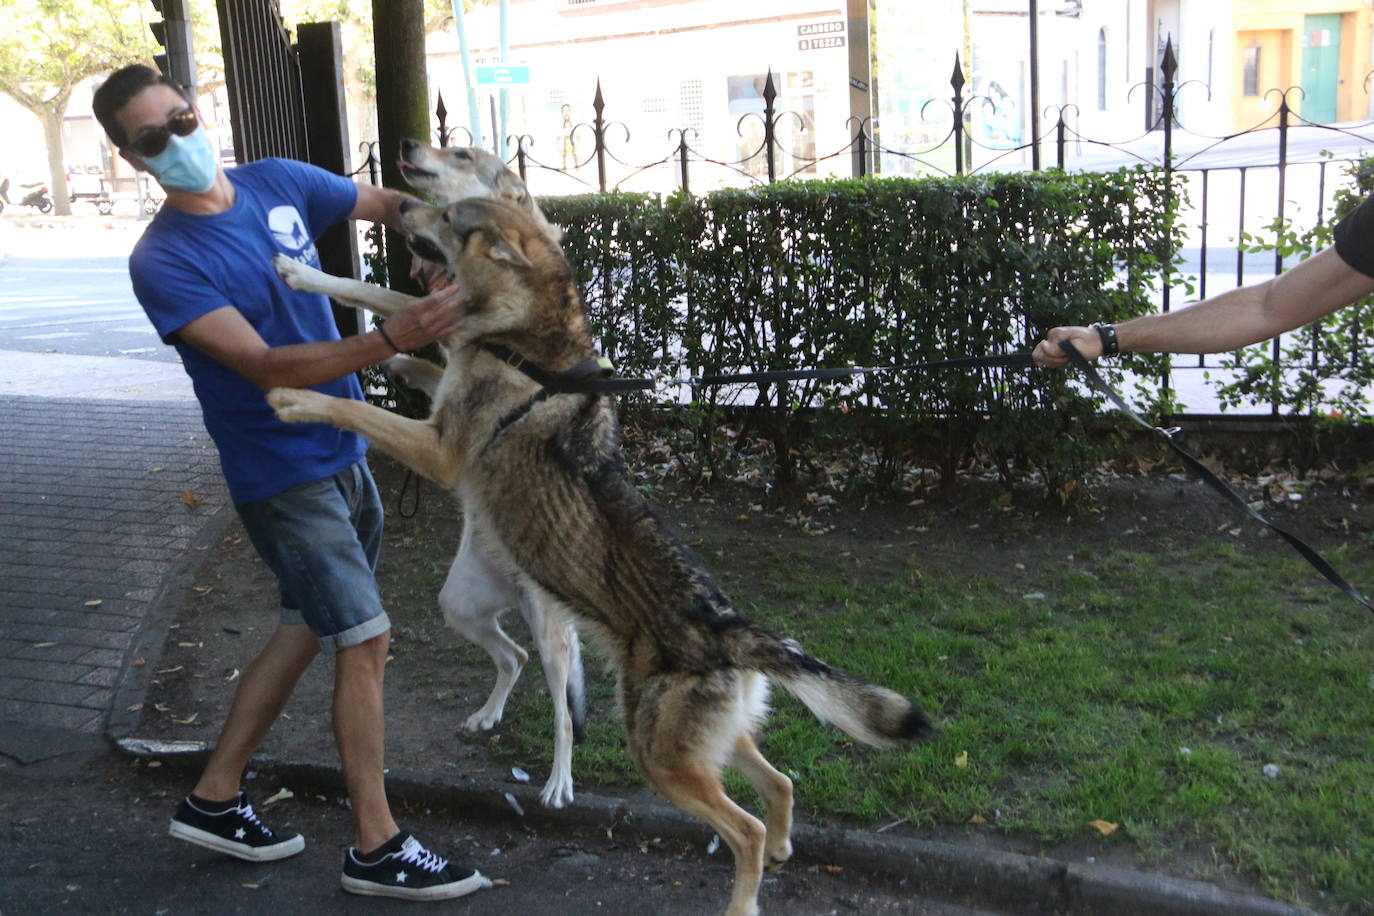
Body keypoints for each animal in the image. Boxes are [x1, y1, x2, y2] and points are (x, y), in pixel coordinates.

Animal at [265, 197, 934, 911]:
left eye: (448, 217)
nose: (400, 202)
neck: (525, 345)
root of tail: (730, 627)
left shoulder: (439, 450)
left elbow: (353, 406)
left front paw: (294, 397)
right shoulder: (442, 384)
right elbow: (380, 304)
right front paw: (310, 285)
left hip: (659, 757)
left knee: (743, 826)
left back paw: (740, 891)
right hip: (694, 739)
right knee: (778, 783)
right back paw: (782, 848)